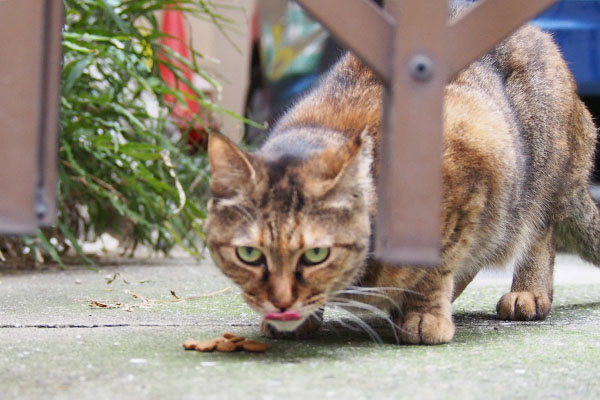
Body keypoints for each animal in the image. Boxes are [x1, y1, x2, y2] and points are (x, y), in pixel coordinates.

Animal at [204, 11, 596, 344]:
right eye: (249, 255)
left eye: (315, 253)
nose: (280, 302)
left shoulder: (471, 168)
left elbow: (436, 266)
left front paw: (425, 315)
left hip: (539, 172)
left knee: (539, 233)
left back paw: (527, 293)